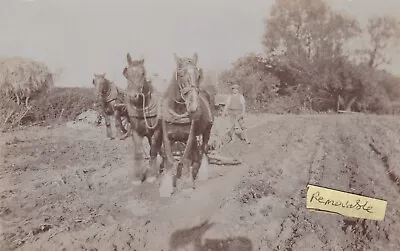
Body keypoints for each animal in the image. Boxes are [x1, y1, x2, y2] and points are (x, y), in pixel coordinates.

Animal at [121, 54, 166, 185]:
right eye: (127, 73)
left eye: (143, 73)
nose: (132, 96)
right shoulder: (135, 131)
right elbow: (138, 153)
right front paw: (137, 177)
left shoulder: (157, 131)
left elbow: (153, 151)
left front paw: (151, 176)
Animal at [158, 53, 214, 198]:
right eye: (181, 74)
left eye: (198, 75)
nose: (194, 107)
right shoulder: (167, 137)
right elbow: (168, 159)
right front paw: (166, 187)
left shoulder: (190, 136)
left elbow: (187, 157)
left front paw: (188, 184)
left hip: (207, 129)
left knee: (204, 148)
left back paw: (202, 172)